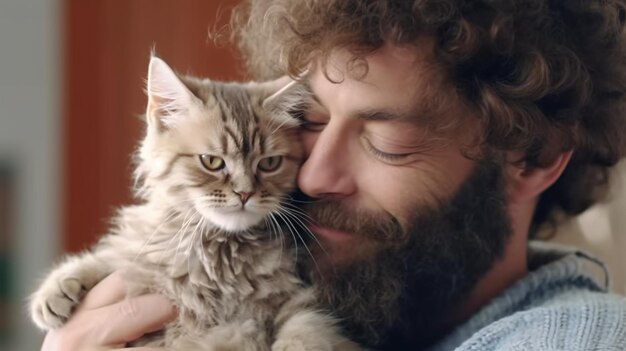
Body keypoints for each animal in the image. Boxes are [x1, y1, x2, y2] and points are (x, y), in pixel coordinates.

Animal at [29, 56, 358, 351]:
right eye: (212, 162)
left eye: (269, 164)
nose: (244, 193)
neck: (219, 253)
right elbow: (114, 256)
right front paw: (59, 285)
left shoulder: (298, 301)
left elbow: (306, 329)